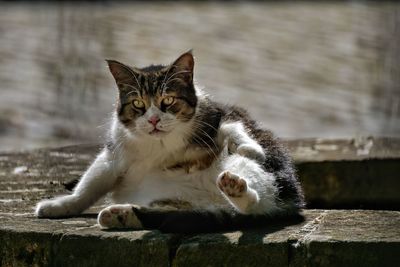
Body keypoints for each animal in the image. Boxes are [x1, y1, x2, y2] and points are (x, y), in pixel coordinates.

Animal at [35, 51, 304, 233]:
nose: (154, 119)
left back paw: (235, 187)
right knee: (163, 214)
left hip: (257, 175)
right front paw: (59, 206)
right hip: (170, 202)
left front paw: (250, 147)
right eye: (138, 104)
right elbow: (89, 185)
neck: (160, 146)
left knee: (254, 200)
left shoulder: (220, 114)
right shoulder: (114, 153)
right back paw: (119, 215)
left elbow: (233, 126)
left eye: (168, 101)